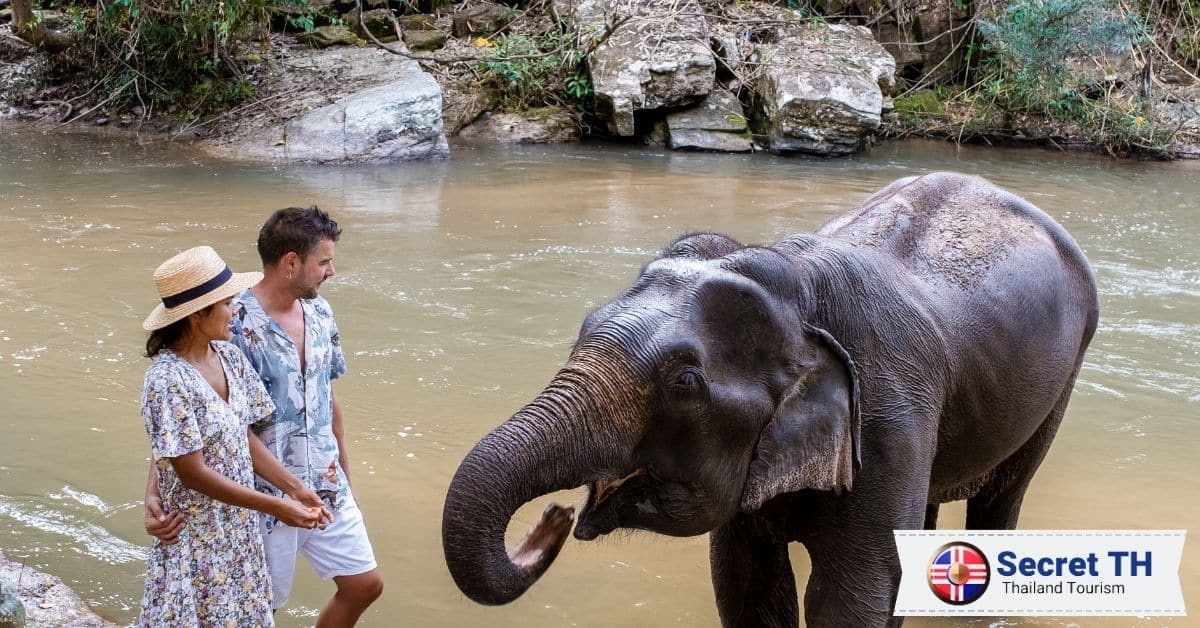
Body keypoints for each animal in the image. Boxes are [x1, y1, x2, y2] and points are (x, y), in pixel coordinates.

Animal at [441, 172, 1099, 627]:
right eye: (585, 326)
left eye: (684, 382)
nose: (552, 518)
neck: (799, 285)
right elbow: (747, 586)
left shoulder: (889, 421)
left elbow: (852, 595)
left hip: (1060, 383)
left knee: (1001, 501)